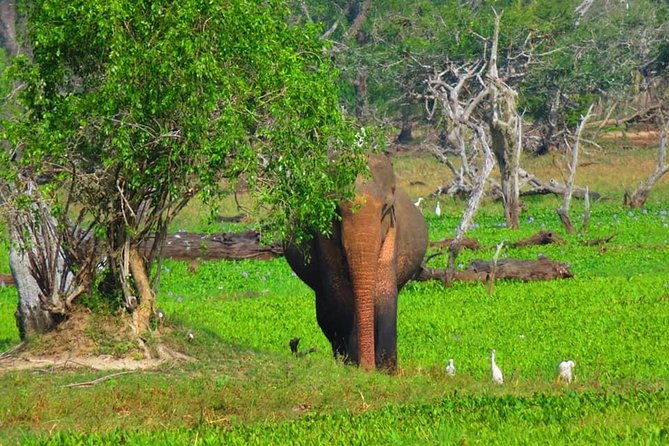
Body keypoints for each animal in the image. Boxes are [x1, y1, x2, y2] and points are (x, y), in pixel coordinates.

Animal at [284, 152, 426, 370]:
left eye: (385, 208)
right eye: (336, 210)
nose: (368, 368)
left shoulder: (392, 231)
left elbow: (385, 289)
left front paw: (386, 369)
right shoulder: (323, 234)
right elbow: (339, 290)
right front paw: (352, 364)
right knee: (325, 315)